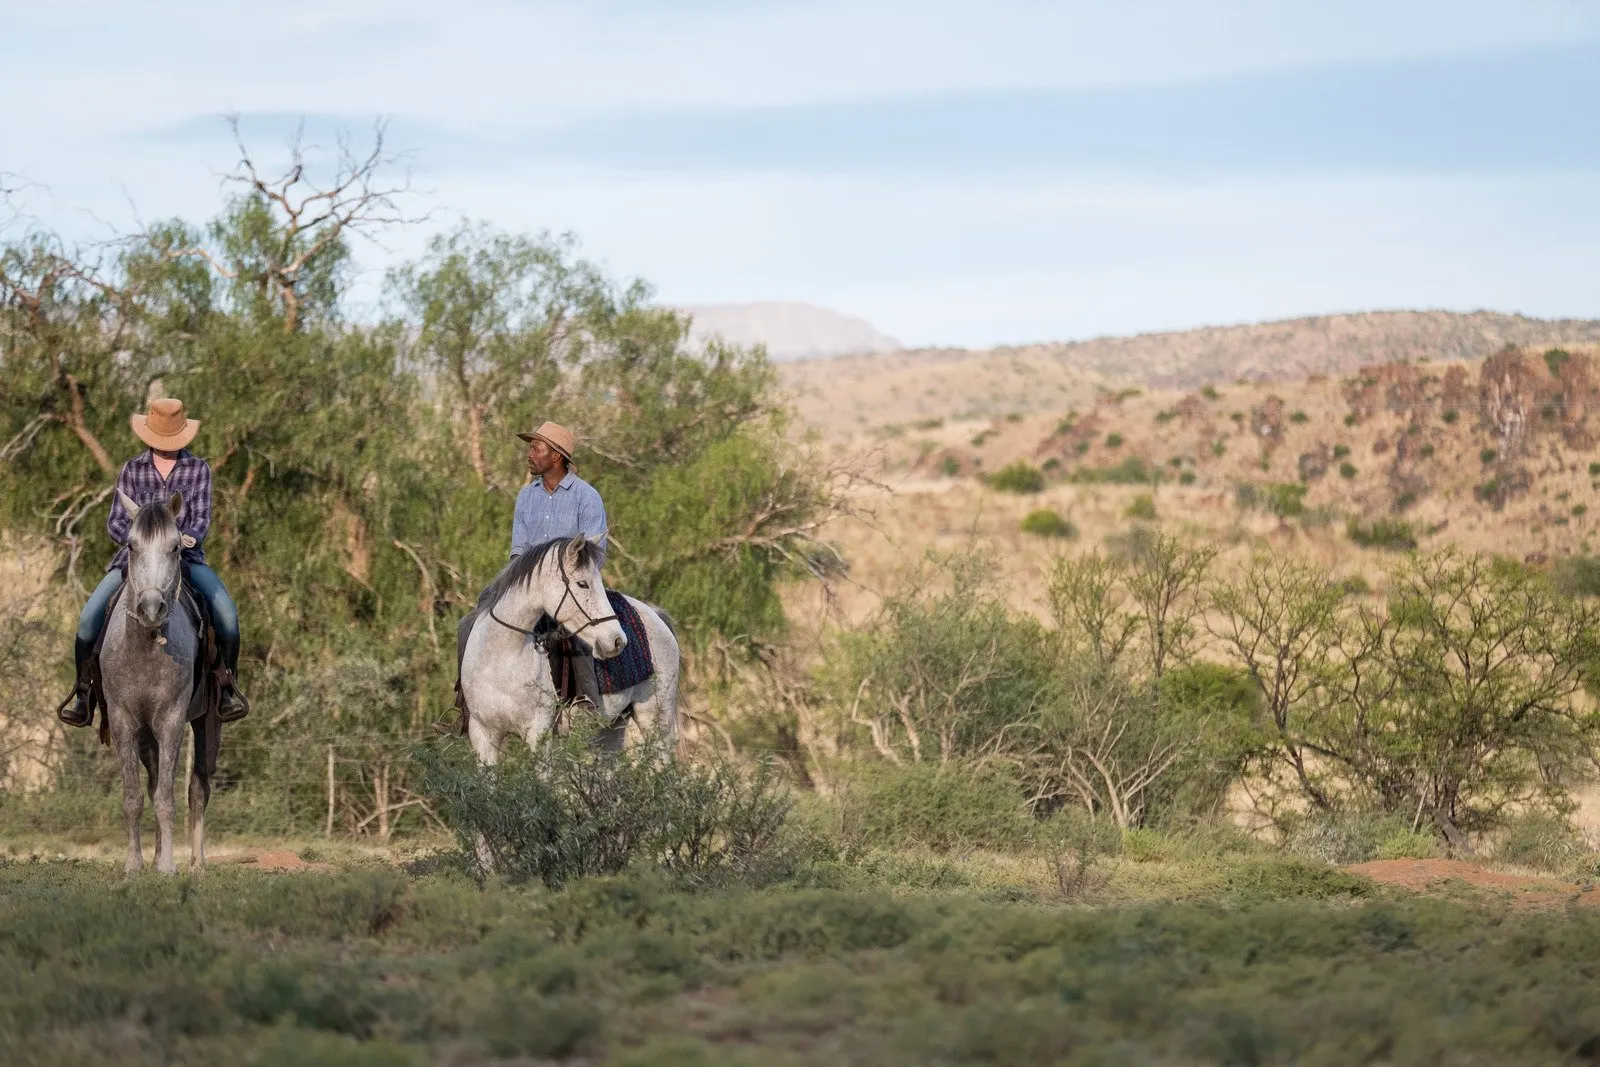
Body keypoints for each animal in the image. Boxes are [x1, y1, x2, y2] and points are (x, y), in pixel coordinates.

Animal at [100, 489, 213, 875]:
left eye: (176, 547)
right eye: (131, 546)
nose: (151, 608)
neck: (146, 647)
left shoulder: (171, 721)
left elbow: (166, 796)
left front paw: (167, 867)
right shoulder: (123, 722)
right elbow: (135, 798)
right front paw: (134, 865)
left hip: (208, 720)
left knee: (198, 788)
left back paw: (196, 862)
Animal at [460, 534, 681, 769]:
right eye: (582, 584)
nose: (617, 641)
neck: (502, 660)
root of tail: (655, 615)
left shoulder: (538, 732)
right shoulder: (483, 736)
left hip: (656, 723)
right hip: (612, 727)